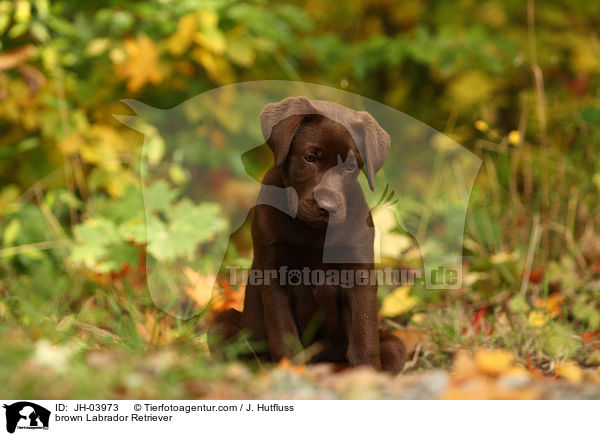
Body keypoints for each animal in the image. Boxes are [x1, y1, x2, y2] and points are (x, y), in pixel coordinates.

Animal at [207, 97, 408, 372]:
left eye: (350, 166)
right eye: (310, 157)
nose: (328, 207)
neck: (313, 233)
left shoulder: (359, 274)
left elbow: (363, 333)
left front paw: (365, 373)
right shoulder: (273, 274)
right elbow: (284, 334)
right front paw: (291, 370)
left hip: (394, 343)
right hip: (222, 324)